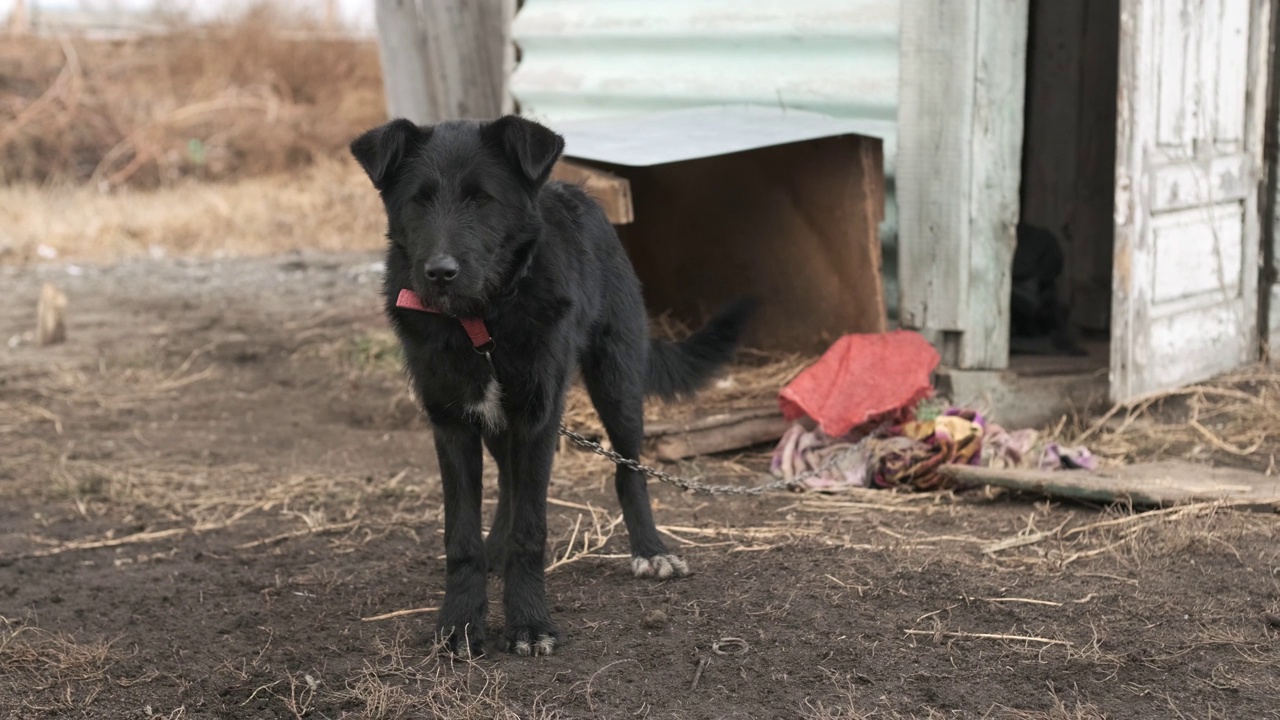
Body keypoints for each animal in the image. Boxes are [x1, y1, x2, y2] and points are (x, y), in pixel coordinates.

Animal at [348, 113, 747, 655]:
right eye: (419, 200)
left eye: (482, 199)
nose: (439, 273)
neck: (481, 322)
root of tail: (574, 190)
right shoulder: (452, 423)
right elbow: (461, 536)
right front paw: (460, 622)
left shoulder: (538, 419)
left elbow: (531, 529)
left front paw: (530, 622)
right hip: (501, 424)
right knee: (508, 483)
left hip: (617, 384)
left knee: (629, 470)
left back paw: (650, 549)